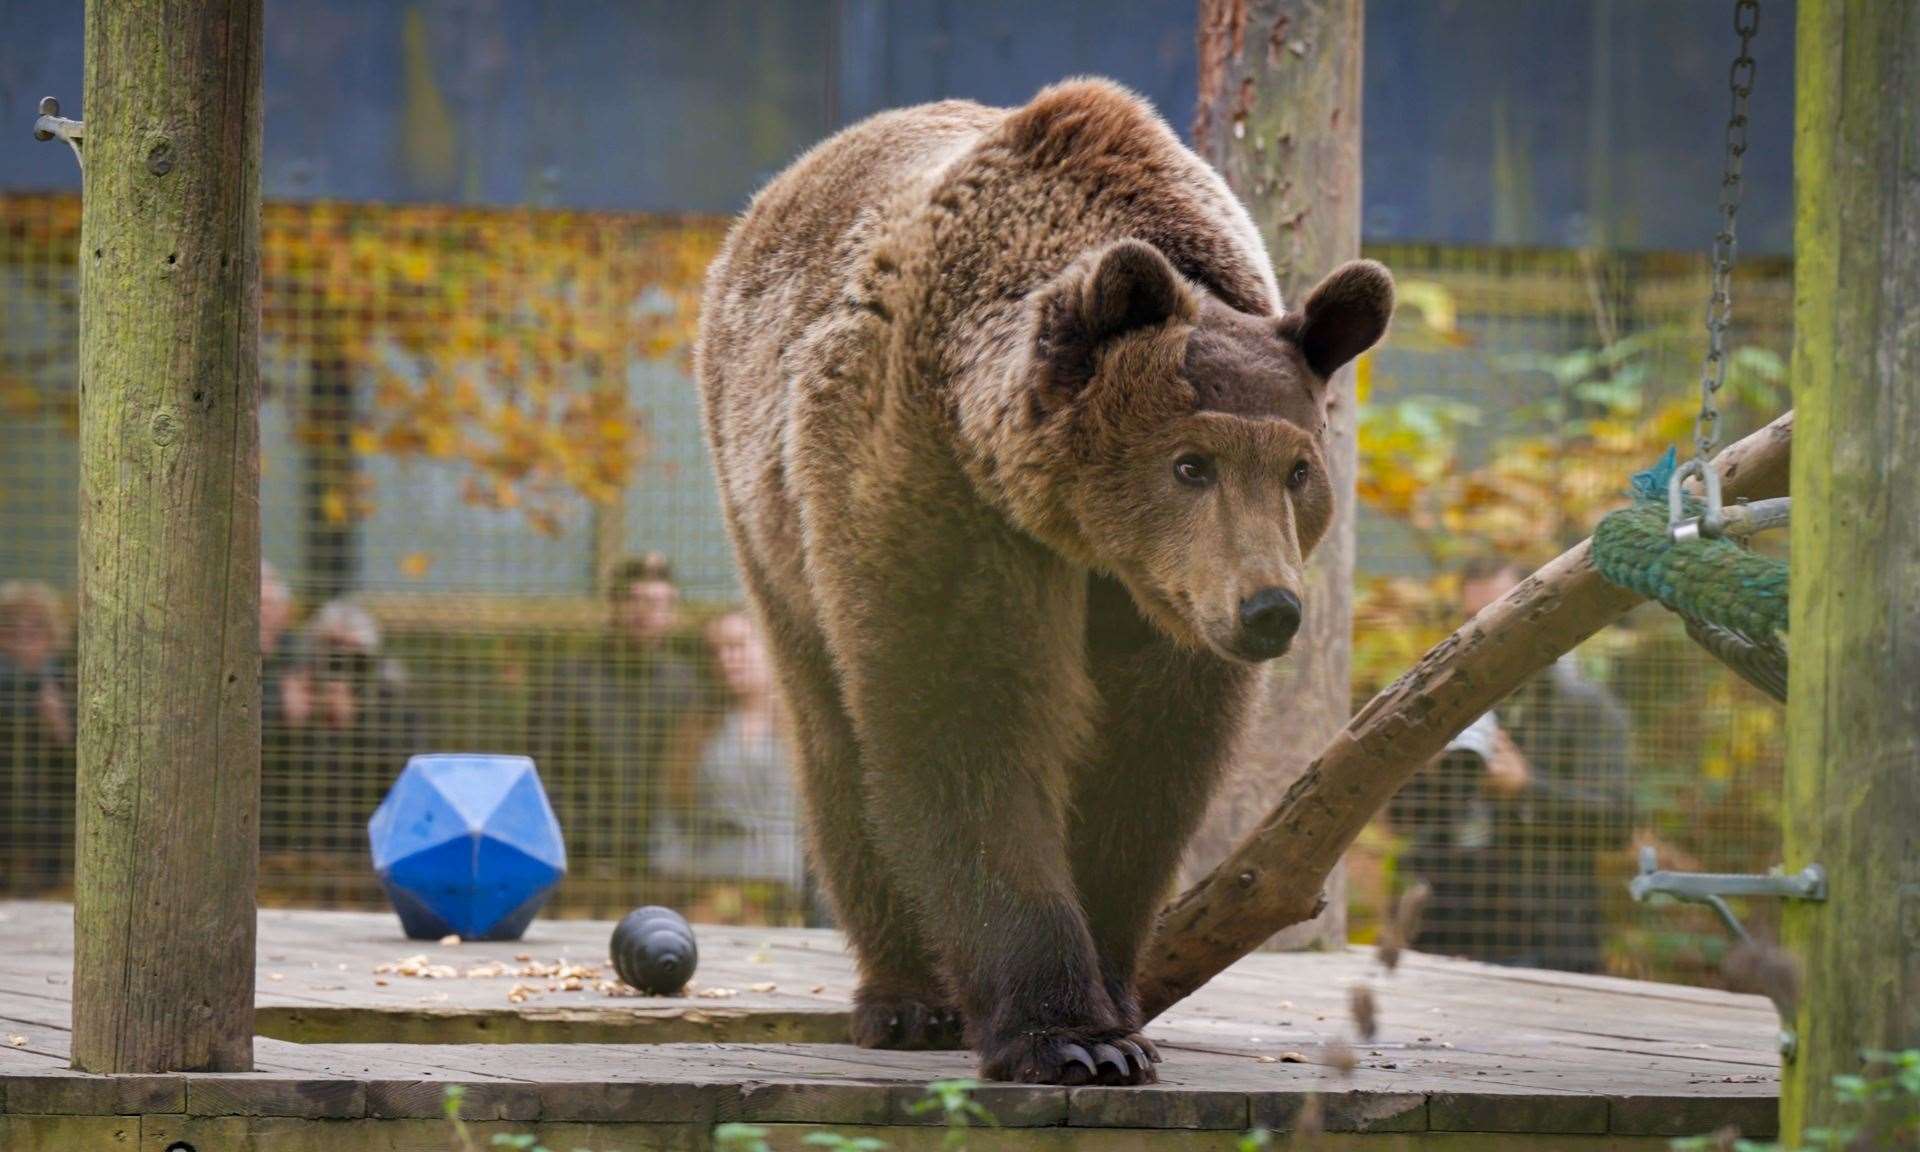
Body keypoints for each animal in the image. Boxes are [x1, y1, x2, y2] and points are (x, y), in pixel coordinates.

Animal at [698, 76, 1390, 1082]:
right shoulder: (935, 493)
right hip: (770, 524)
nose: (1270, 609)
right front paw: (1067, 1034)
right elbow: (966, 725)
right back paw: (904, 997)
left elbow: (1144, 771)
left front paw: (1117, 1004)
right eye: (1190, 464)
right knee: (836, 740)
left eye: (1298, 469)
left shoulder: (1160, 609)